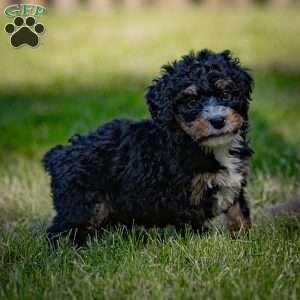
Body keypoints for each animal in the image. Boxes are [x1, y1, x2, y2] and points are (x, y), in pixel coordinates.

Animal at [42, 49, 253, 245]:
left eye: (226, 93)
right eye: (192, 102)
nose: (218, 120)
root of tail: (58, 154)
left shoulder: (234, 183)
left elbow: (239, 214)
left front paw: (245, 240)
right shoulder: (185, 197)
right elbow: (194, 228)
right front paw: (201, 246)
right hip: (83, 204)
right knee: (61, 232)